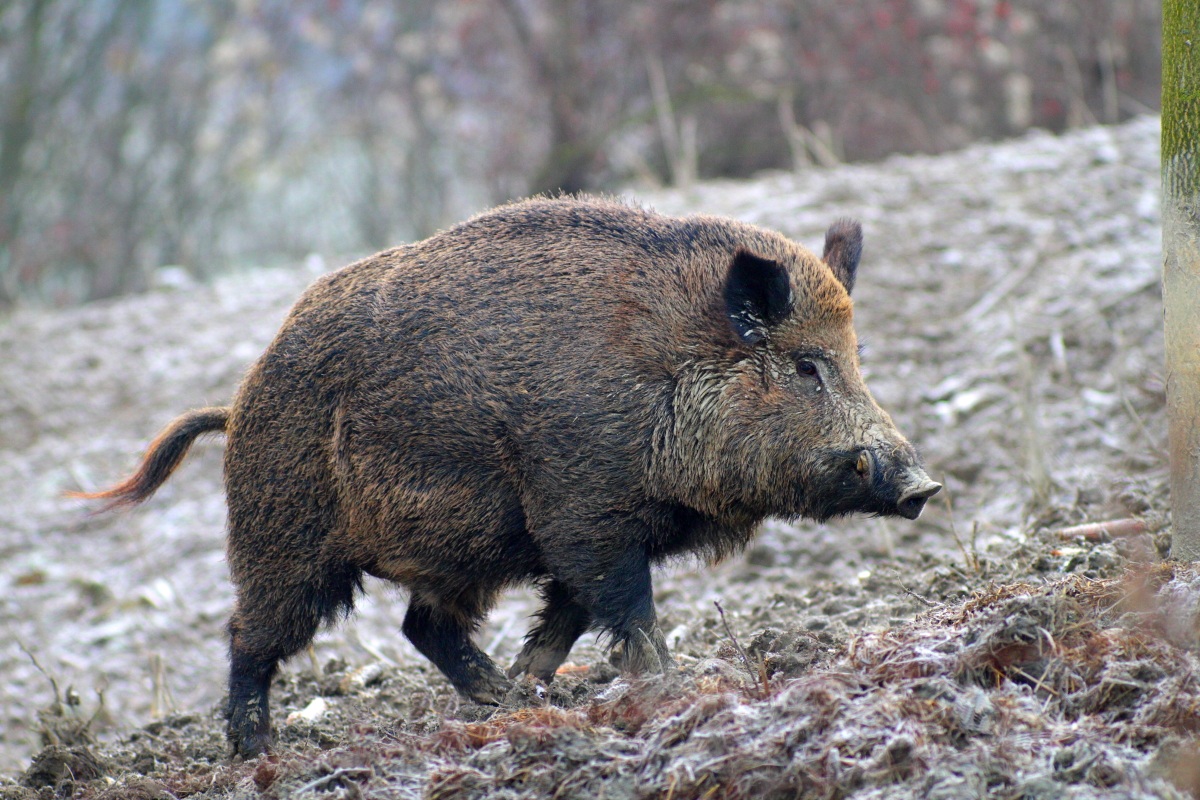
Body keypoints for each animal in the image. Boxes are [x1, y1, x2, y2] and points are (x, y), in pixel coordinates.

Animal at [78, 196, 940, 757]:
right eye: (806, 366)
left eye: (856, 359)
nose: (922, 487)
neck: (665, 378)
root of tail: (235, 404)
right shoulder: (584, 513)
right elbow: (626, 609)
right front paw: (669, 687)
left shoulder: (588, 534)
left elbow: (566, 617)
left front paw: (537, 692)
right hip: (283, 539)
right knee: (250, 636)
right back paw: (253, 753)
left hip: (453, 555)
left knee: (421, 626)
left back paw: (493, 700)